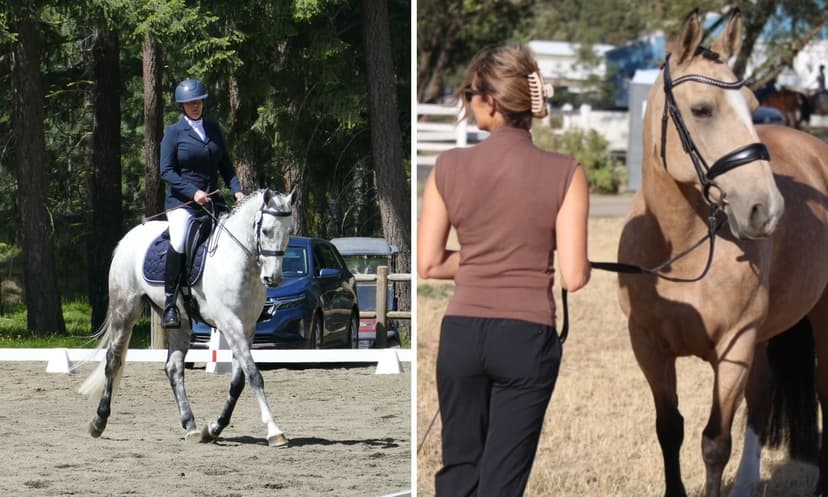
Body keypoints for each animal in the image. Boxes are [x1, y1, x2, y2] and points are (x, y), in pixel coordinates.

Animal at [79, 189, 295, 447]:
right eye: (266, 231)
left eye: (289, 232)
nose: (273, 278)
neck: (238, 262)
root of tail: (130, 236)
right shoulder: (230, 323)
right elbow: (254, 376)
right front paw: (274, 431)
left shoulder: (247, 327)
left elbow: (238, 382)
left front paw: (213, 428)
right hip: (125, 310)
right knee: (113, 360)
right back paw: (98, 421)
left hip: (178, 320)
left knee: (173, 368)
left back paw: (190, 425)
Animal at [617, 9, 828, 497]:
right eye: (702, 109)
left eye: (752, 106)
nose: (765, 210)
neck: (680, 252)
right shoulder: (649, 347)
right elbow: (669, 429)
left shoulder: (735, 346)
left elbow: (714, 443)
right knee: (763, 396)